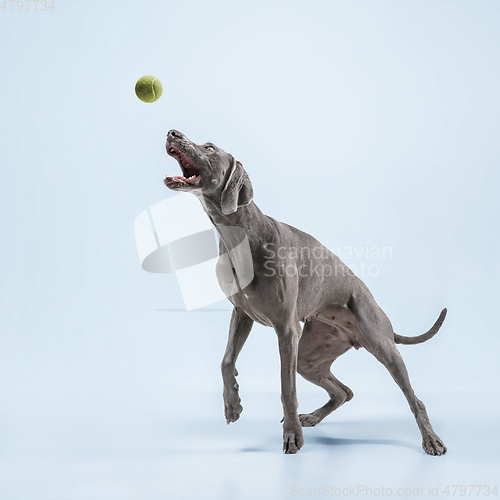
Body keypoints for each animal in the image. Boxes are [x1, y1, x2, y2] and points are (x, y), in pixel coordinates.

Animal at [164, 127, 450, 456]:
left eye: (210, 148)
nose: (173, 132)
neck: (239, 235)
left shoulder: (287, 330)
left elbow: (286, 388)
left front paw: (291, 436)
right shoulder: (242, 313)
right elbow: (225, 360)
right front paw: (232, 404)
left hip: (382, 345)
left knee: (415, 398)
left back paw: (431, 439)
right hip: (310, 356)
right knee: (344, 391)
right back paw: (312, 416)